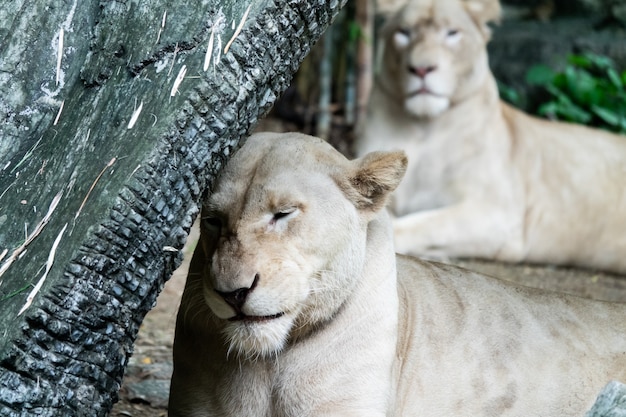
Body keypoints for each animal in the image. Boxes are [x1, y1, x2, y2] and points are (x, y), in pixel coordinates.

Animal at [354, 0, 624, 272]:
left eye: (452, 33)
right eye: (404, 32)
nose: (421, 68)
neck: (423, 130)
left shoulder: (500, 215)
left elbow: (422, 224)